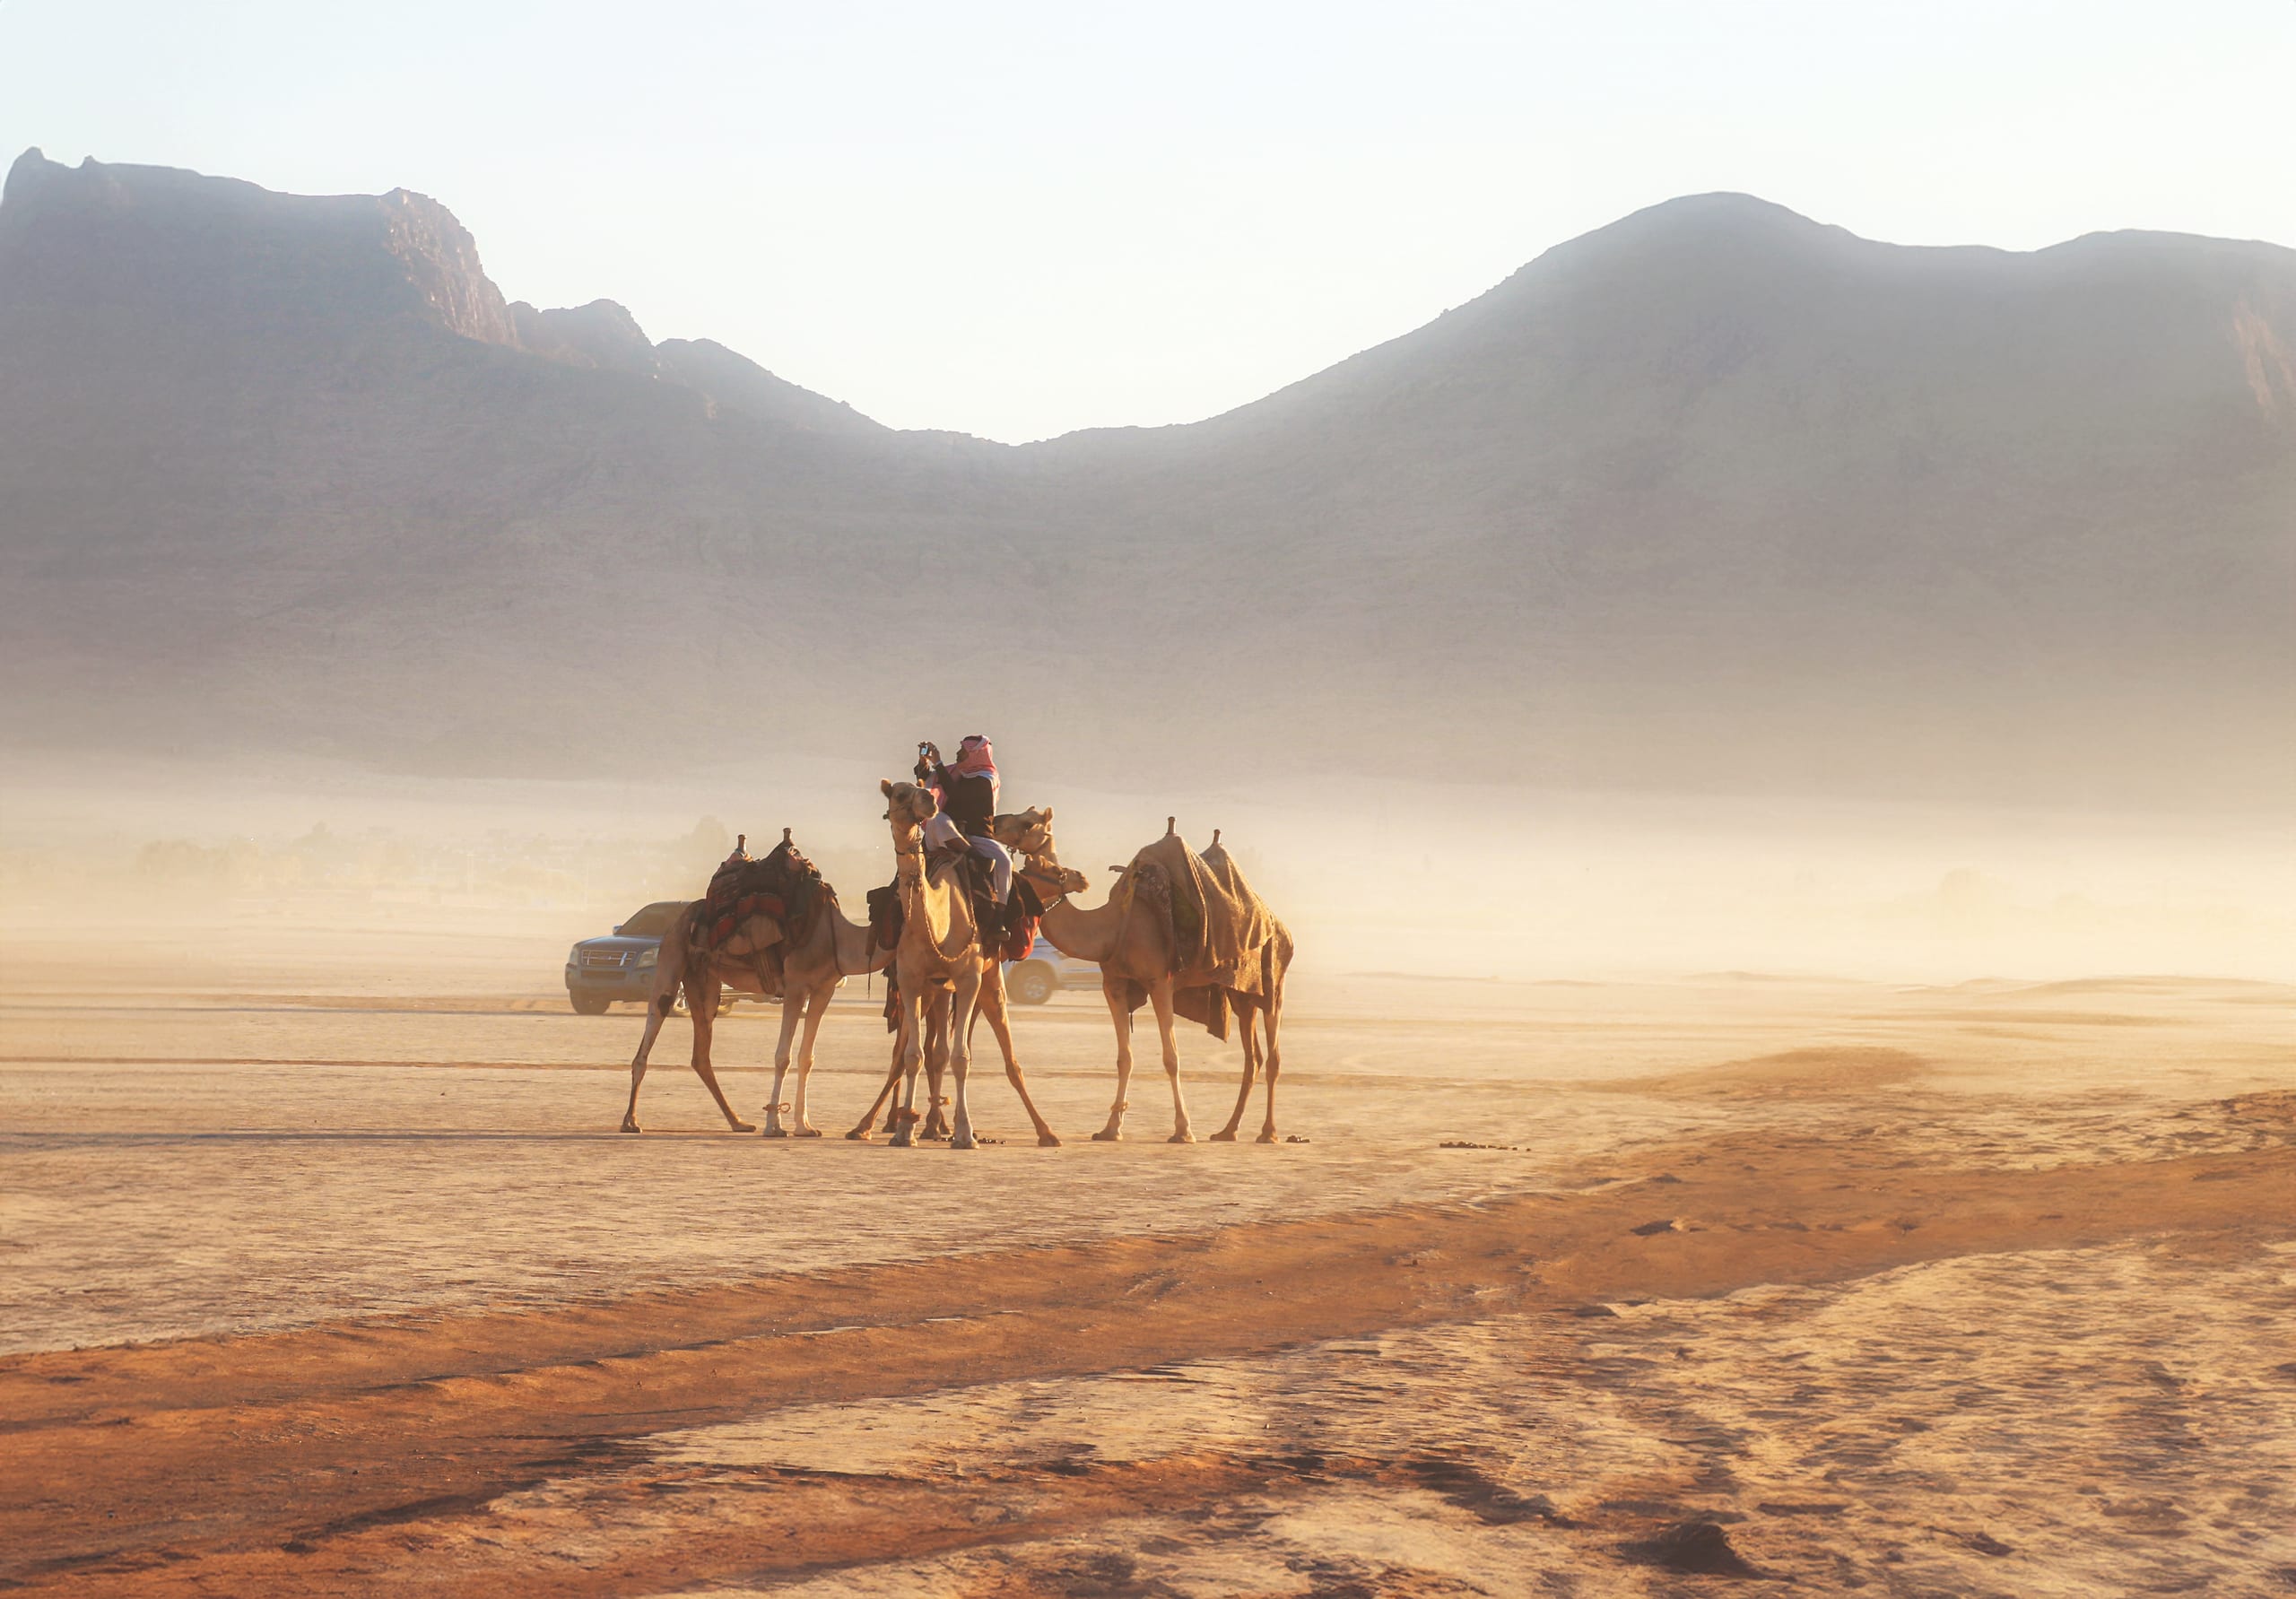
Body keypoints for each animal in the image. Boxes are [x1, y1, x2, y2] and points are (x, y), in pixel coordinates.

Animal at [619, 832, 893, 1136]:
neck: (837, 936)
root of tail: (685, 915)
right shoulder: (796, 986)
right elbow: (783, 1057)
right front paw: (774, 1125)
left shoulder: (825, 989)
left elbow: (807, 1058)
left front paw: (805, 1126)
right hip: (672, 955)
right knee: (658, 1014)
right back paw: (630, 1120)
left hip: (703, 978)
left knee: (701, 1050)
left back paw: (738, 1122)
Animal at [874, 781, 1065, 1150]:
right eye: (899, 794)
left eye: (920, 789)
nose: (929, 800)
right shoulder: (910, 980)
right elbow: (913, 1056)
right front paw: (905, 1131)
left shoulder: (968, 979)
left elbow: (962, 1058)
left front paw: (964, 1133)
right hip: (937, 989)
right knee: (927, 1052)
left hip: (990, 980)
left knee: (1009, 1059)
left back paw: (1046, 1132)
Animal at [1012, 825, 1293, 1144]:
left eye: (1052, 867)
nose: (1080, 878)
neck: (1113, 928)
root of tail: (1279, 924)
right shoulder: (1114, 985)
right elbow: (1124, 1058)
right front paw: (1111, 1129)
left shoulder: (1160, 982)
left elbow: (1171, 1057)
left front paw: (1183, 1130)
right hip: (1240, 994)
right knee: (1253, 1057)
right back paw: (1228, 1131)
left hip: (1273, 984)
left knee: (1273, 1056)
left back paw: (1268, 1133)